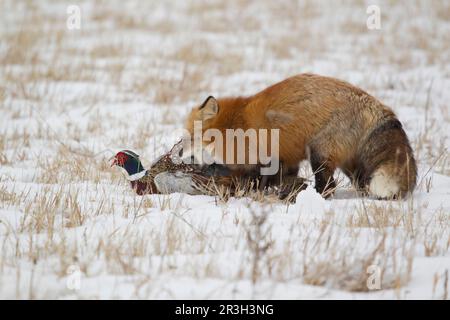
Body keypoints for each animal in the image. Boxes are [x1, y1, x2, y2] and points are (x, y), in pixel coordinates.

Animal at [185, 74, 416, 199]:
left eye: (191, 138)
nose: (182, 156)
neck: (236, 126)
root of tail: (373, 103)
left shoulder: (266, 157)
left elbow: (255, 180)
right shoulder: (286, 157)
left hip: (319, 154)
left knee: (328, 187)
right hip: (350, 165)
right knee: (360, 184)